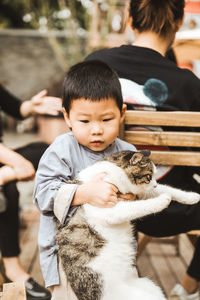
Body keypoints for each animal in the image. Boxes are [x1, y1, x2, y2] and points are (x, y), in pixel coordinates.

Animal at [55, 150, 199, 300]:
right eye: (149, 176)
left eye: (155, 176)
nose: (155, 184)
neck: (113, 173)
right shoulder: (109, 208)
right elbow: (139, 206)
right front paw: (164, 199)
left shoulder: (141, 191)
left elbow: (169, 189)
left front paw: (192, 197)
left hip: (150, 287)